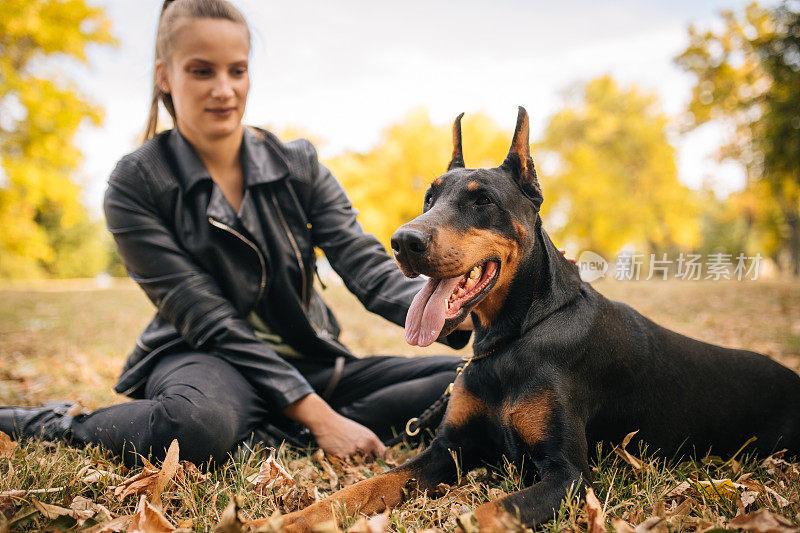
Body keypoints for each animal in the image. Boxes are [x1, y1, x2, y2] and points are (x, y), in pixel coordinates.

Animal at [280, 106, 800, 528]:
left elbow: (487, 513)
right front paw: (298, 517)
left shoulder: (568, 475)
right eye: (429, 198)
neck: (510, 341)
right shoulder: (447, 449)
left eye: (482, 201)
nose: (403, 241)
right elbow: (365, 486)